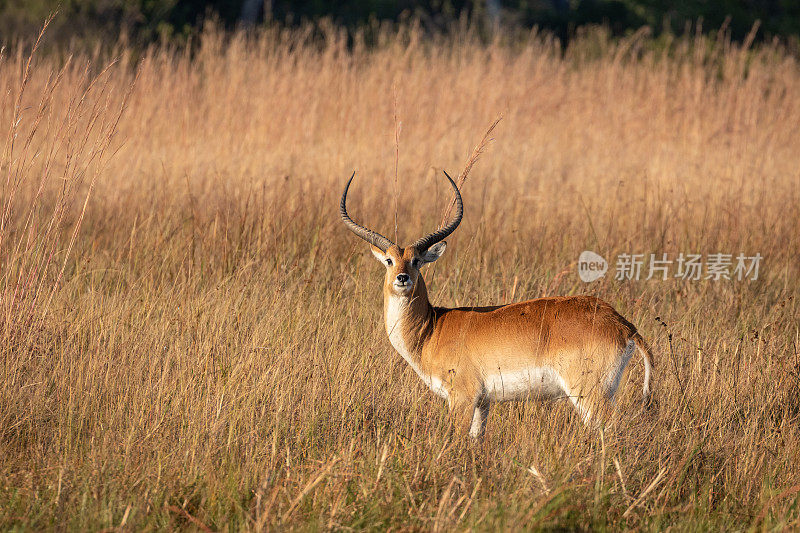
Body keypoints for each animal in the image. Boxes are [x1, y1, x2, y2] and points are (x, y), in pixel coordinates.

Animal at [340, 169, 652, 436]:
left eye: (417, 260)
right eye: (389, 260)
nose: (402, 278)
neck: (432, 329)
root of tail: (623, 325)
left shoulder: (462, 398)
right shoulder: (483, 403)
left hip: (588, 393)